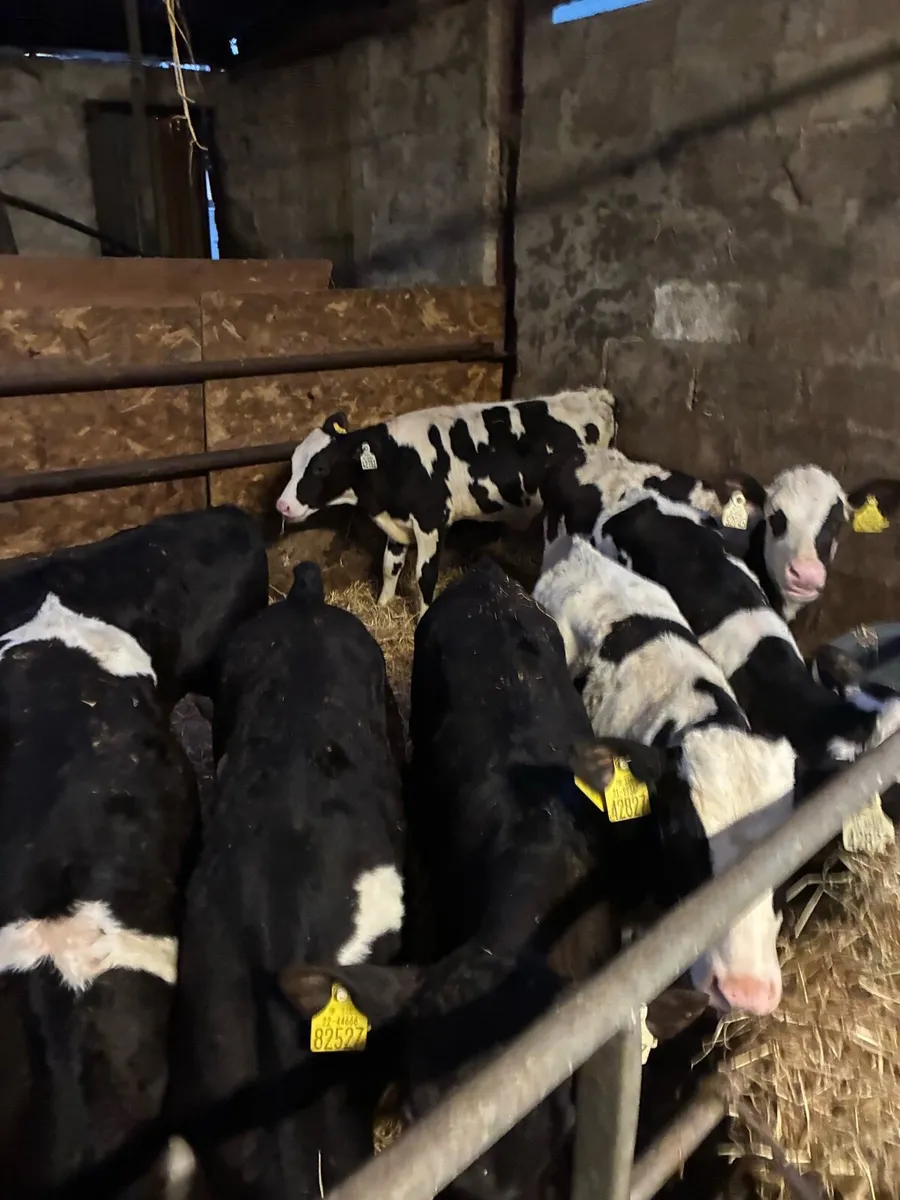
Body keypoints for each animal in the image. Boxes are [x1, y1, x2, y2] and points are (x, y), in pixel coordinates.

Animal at [275, 389, 616, 616]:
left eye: (320, 467)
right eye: (293, 461)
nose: (282, 505)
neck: (397, 460)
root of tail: (594, 396)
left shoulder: (431, 521)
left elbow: (424, 576)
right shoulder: (398, 524)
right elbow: (389, 566)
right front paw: (383, 604)